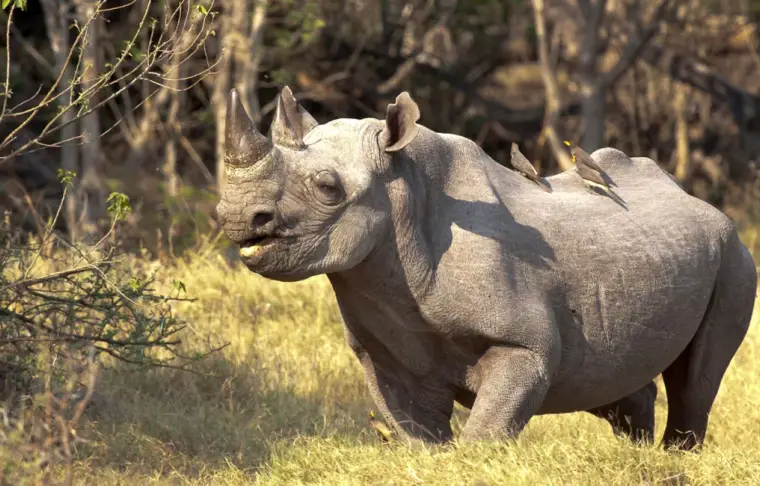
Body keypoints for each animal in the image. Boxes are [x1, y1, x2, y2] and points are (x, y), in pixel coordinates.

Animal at [215, 86, 757, 450]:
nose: (235, 216)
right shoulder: (384, 351)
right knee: (615, 380)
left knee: (696, 382)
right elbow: (418, 435)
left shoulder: (523, 344)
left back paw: (675, 455)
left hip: (734, 253)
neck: (404, 198)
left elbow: (485, 432)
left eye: (328, 188)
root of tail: (696, 198)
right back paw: (635, 454)